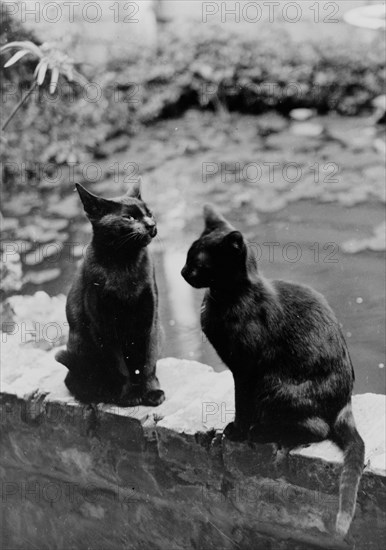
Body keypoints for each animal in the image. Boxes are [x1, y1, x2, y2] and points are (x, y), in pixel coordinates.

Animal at [55, 181, 164, 410]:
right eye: (129, 217)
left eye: (149, 213)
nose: (151, 224)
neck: (125, 263)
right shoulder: (102, 324)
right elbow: (119, 365)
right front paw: (129, 396)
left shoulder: (150, 317)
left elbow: (147, 361)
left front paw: (151, 392)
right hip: (79, 345)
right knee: (73, 381)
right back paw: (99, 395)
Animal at [181, 206, 364, 540]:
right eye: (188, 256)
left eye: (198, 264)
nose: (182, 272)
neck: (225, 298)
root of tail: (345, 404)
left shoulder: (245, 369)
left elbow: (242, 402)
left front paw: (237, 430)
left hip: (274, 386)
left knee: (318, 428)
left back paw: (264, 432)